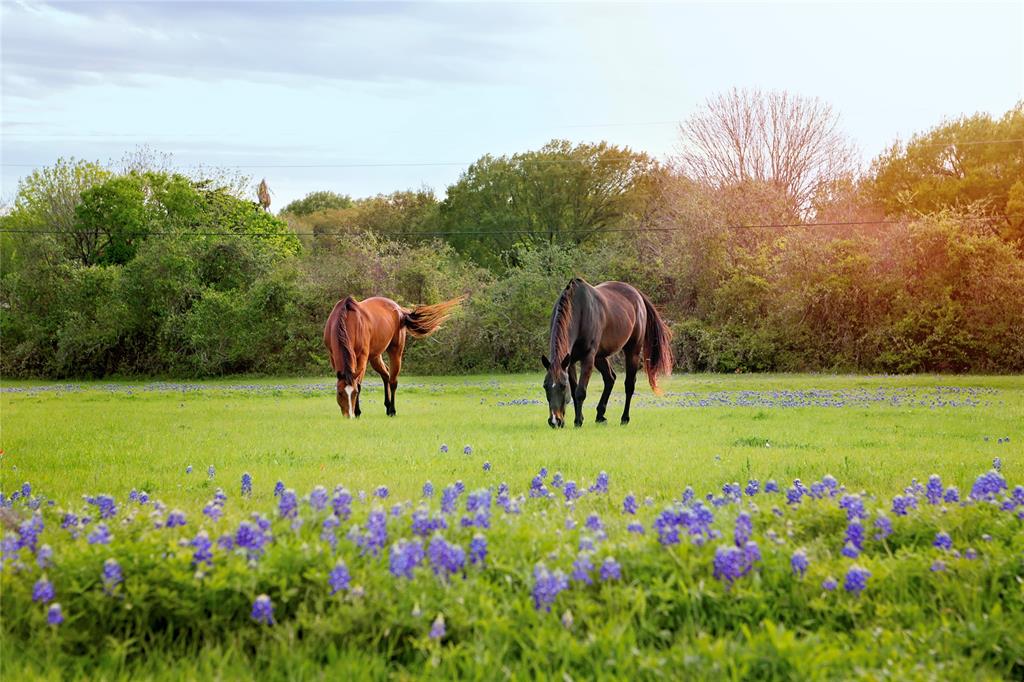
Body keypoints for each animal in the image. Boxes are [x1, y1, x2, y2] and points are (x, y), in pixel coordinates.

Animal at [323, 292, 464, 417]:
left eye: (355, 393)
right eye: (339, 393)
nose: (348, 415)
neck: (348, 319)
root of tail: (400, 311)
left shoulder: (362, 357)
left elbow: (358, 383)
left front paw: (357, 412)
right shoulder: (333, 357)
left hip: (395, 352)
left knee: (393, 381)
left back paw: (392, 411)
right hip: (375, 356)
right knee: (386, 374)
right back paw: (387, 405)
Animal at [540, 276, 675, 425]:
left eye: (563, 386)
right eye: (545, 386)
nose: (554, 421)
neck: (579, 310)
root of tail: (637, 294)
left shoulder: (588, 357)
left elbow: (580, 392)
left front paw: (578, 422)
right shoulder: (570, 361)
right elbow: (574, 391)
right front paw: (579, 418)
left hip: (631, 351)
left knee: (629, 384)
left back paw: (624, 418)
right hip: (600, 357)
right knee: (610, 378)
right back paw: (600, 415)